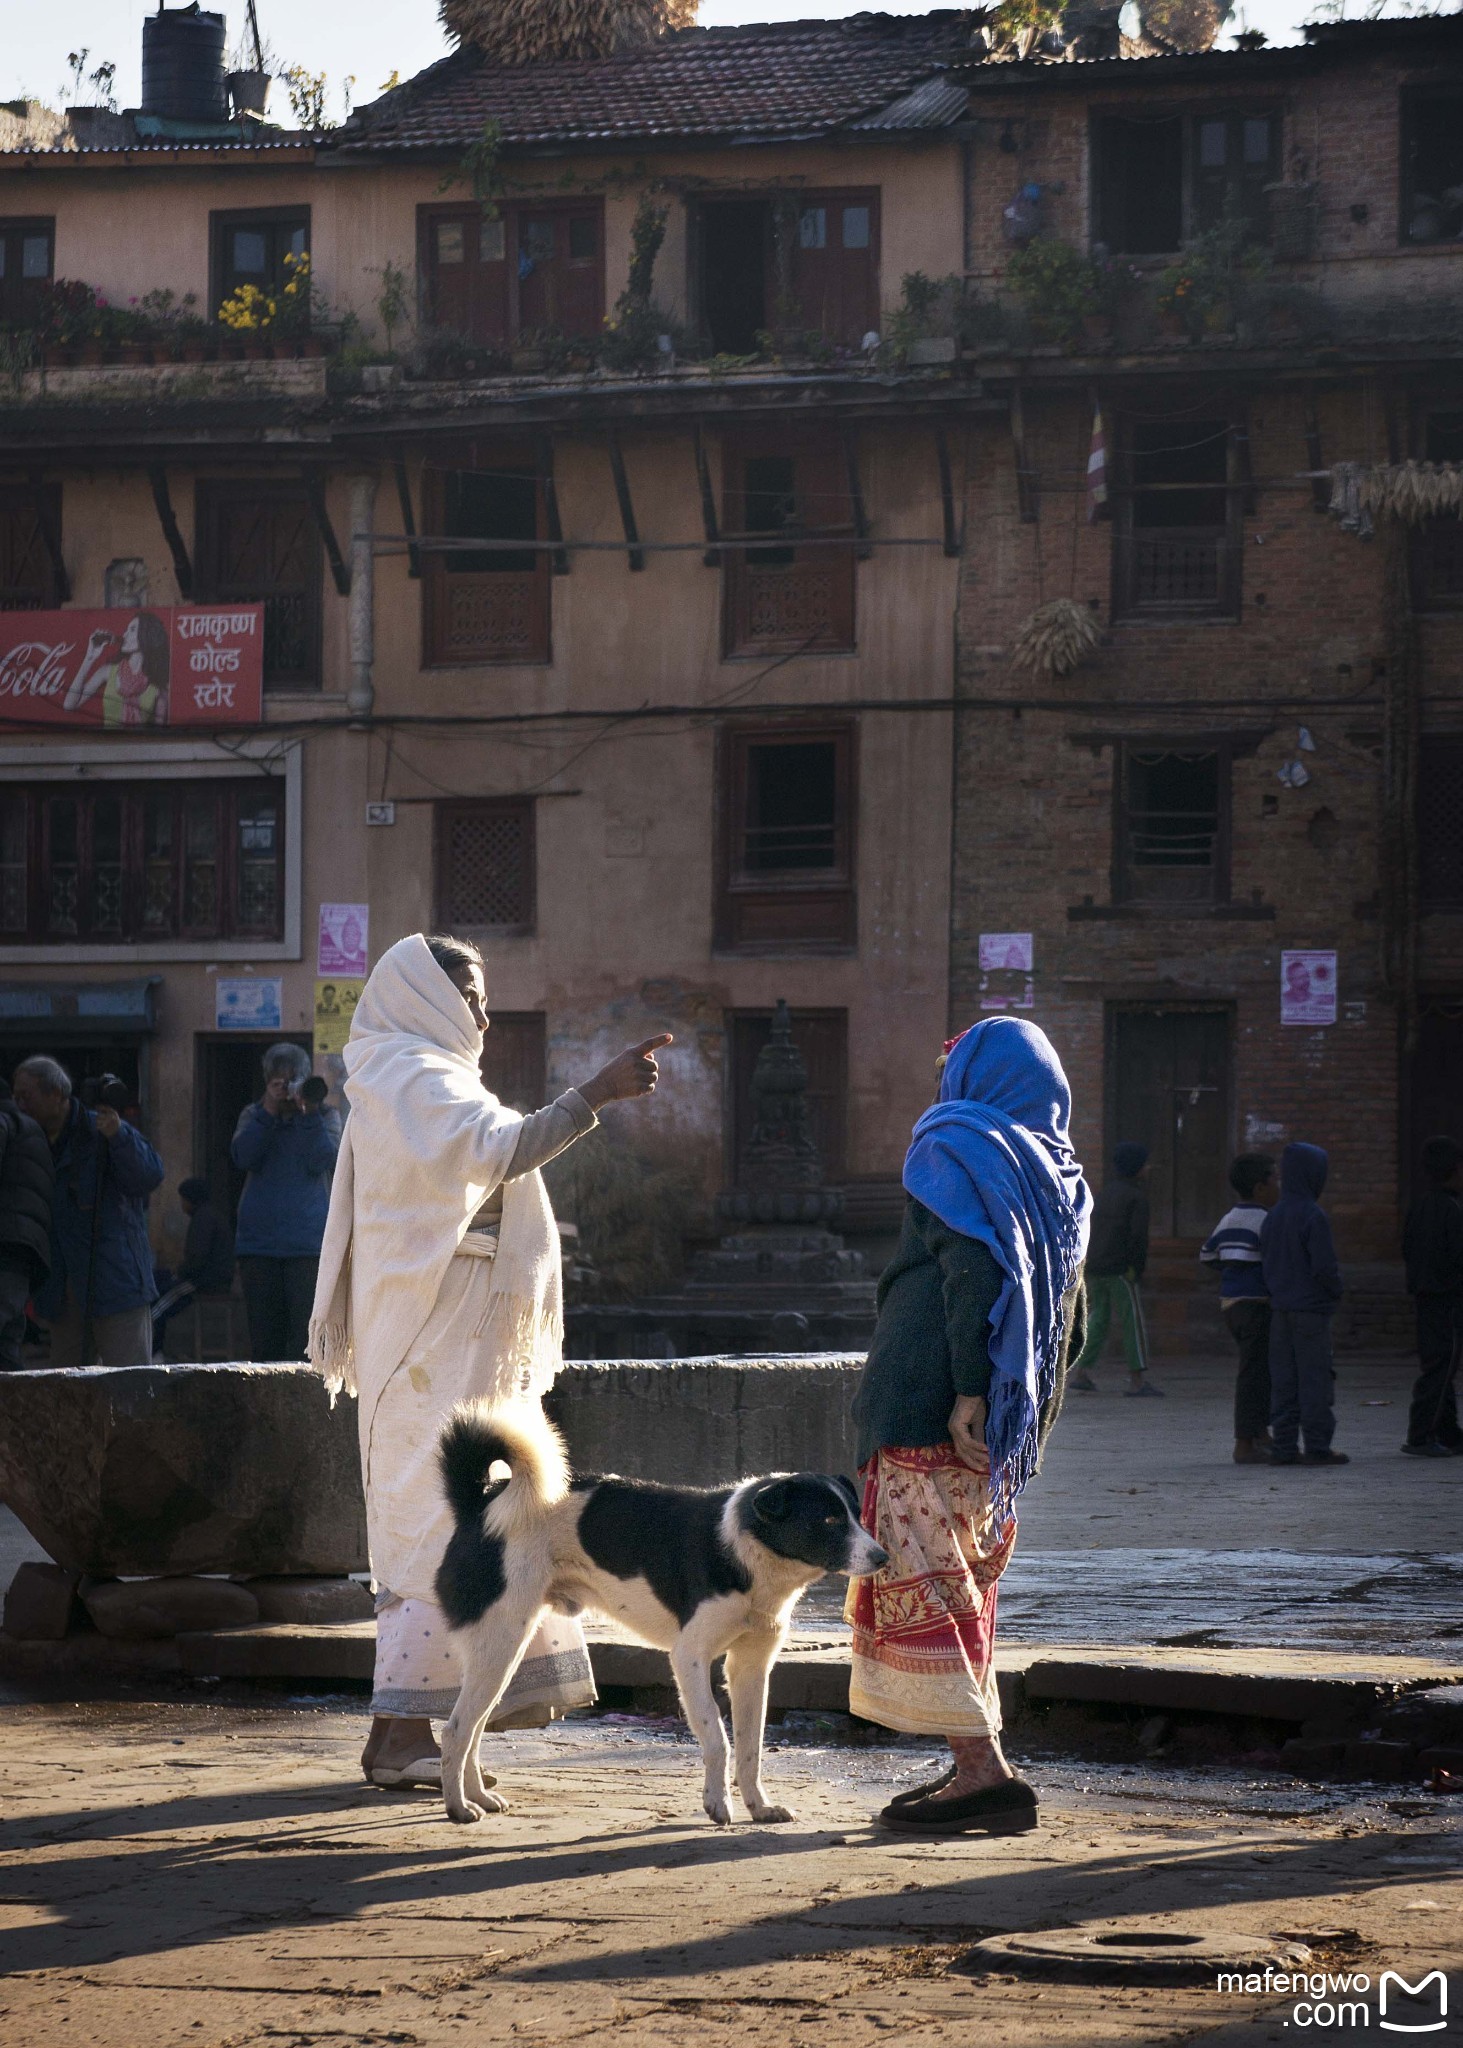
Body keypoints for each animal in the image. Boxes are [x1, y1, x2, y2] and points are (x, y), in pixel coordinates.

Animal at [432, 1409, 885, 1826]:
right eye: (828, 1520)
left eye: (858, 1515)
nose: (883, 1557)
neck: (748, 1547)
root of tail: (480, 1502)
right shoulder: (689, 1657)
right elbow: (718, 1737)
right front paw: (717, 1804)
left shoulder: (751, 1666)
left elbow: (751, 1746)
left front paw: (760, 1807)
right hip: (500, 1641)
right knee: (456, 1730)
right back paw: (459, 1807)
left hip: (503, 1653)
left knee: (473, 1728)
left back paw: (479, 1796)